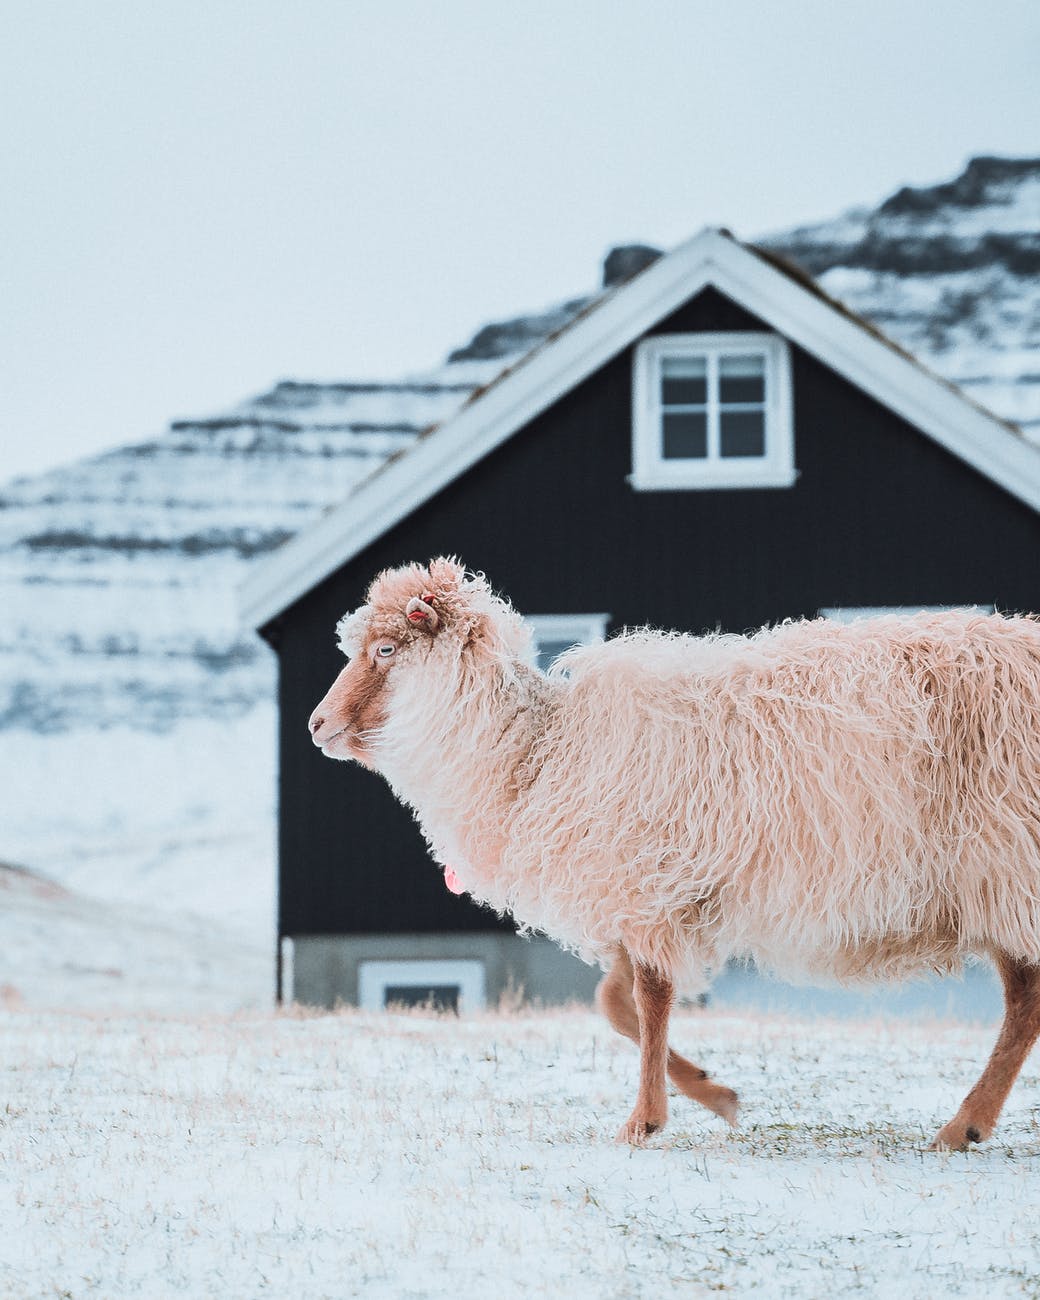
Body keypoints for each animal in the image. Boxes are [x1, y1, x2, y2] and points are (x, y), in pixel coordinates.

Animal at [308, 557, 1040, 1149]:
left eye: (384, 647)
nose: (316, 725)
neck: (536, 755)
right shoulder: (635, 893)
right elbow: (615, 1002)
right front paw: (716, 1092)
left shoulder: (647, 884)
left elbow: (650, 1000)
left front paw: (646, 1120)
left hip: (1006, 861)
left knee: (1024, 1002)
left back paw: (963, 1126)